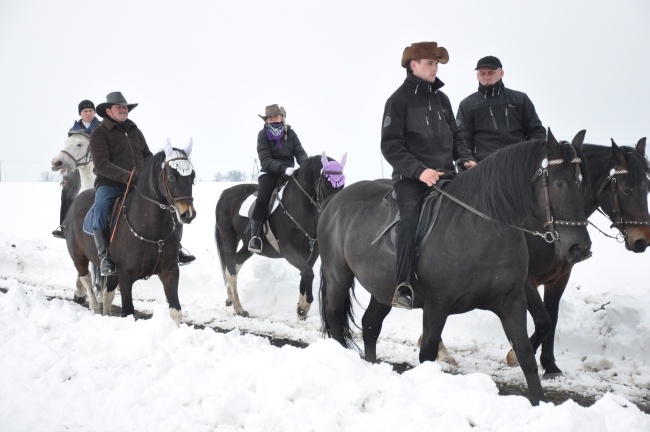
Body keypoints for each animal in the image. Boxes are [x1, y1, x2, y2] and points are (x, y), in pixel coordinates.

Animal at [63, 139, 196, 324]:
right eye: (171, 176)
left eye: (193, 176)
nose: (188, 214)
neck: (152, 228)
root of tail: (77, 199)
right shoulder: (126, 276)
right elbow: (128, 311)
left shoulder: (170, 271)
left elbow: (175, 311)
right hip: (79, 258)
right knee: (87, 281)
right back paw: (95, 308)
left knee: (107, 294)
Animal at [214, 151, 346, 318]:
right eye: (325, 184)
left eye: (342, 185)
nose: (335, 210)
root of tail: (225, 194)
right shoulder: (288, 250)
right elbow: (308, 273)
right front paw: (305, 304)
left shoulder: (313, 252)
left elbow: (306, 273)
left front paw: (301, 307)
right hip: (229, 238)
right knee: (230, 269)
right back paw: (239, 308)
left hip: (247, 246)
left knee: (235, 265)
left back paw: (230, 298)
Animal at [316, 131, 588, 404]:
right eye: (559, 184)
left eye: (580, 181)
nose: (580, 247)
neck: (482, 227)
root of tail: (333, 201)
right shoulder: (437, 305)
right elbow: (427, 354)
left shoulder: (512, 301)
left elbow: (526, 355)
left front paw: (539, 400)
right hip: (338, 276)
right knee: (335, 316)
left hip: (382, 289)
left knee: (371, 325)